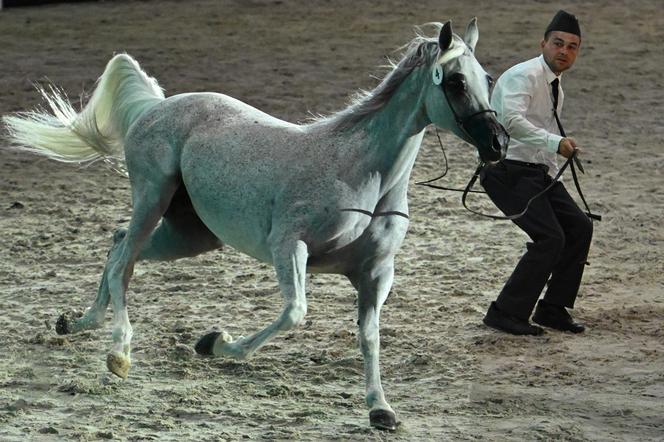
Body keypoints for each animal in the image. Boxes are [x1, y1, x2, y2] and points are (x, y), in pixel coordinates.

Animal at [2, 19, 506, 428]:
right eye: (455, 82)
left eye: (487, 79)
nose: (497, 145)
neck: (360, 172)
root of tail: (155, 107)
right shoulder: (289, 247)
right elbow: (294, 312)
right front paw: (215, 344)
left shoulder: (376, 272)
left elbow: (369, 336)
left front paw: (380, 410)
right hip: (151, 198)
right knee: (124, 257)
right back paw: (118, 351)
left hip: (191, 234)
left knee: (118, 245)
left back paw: (79, 323)